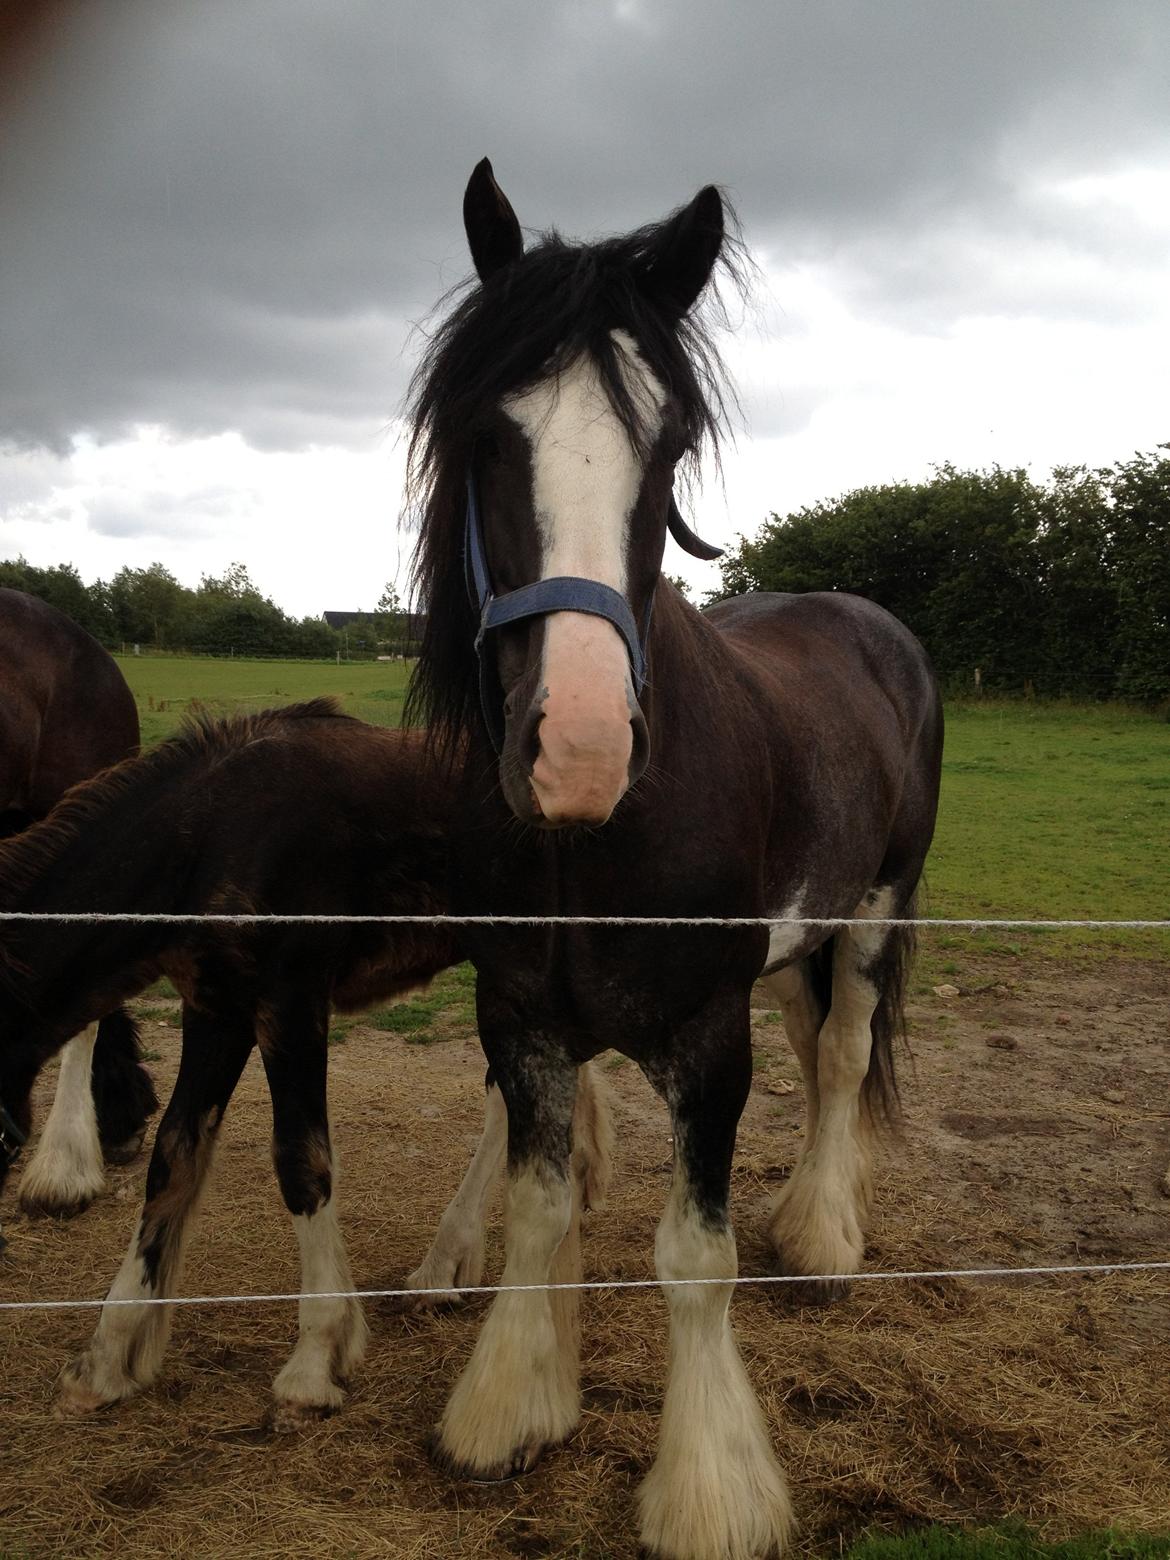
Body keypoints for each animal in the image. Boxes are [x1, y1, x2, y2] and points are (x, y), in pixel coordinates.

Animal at [402, 161, 942, 1560]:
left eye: (674, 444)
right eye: (486, 434)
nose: (583, 748)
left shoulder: (706, 1035)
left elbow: (695, 1258)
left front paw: (711, 1487)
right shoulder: (518, 1016)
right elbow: (541, 1209)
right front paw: (513, 1402)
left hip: (876, 905)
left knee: (844, 1051)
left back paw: (823, 1232)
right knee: (819, 1039)